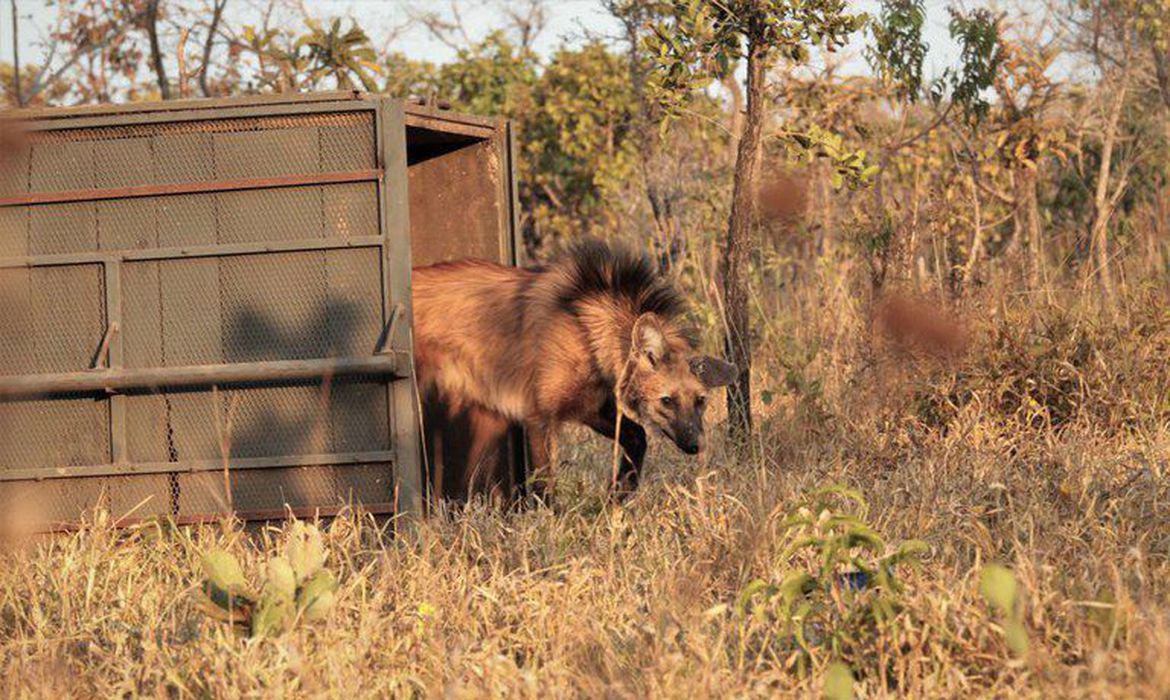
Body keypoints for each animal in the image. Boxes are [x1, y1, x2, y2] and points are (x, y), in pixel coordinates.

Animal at [411, 239, 737, 501]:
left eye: (700, 401)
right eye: (667, 401)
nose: (696, 445)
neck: (586, 333)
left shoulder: (589, 406)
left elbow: (637, 436)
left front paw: (617, 497)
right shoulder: (539, 418)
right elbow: (544, 486)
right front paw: (549, 528)